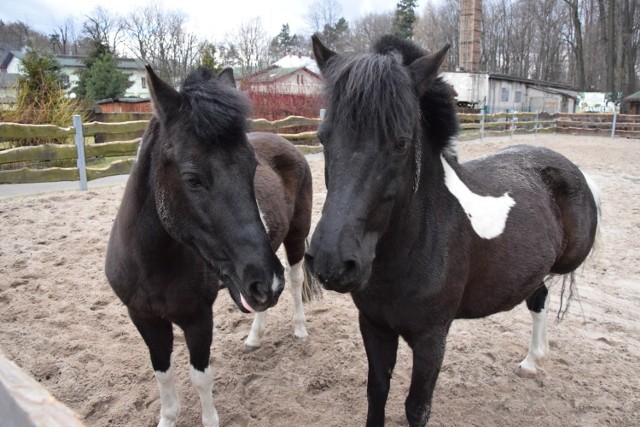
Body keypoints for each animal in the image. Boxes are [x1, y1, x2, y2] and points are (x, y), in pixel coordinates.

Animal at [105, 65, 320, 426]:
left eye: (252, 169)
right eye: (192, 178)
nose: (265, 280)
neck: (152, 265)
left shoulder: (198, 318)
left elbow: (200, 377)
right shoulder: (143, 317)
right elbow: (163, 375)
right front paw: (168, 418)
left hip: (292, 240)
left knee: (294, 280)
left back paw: (301, 330)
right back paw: (254, 337)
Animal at [304, 35, 600, 426]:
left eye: (401, 143)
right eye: (323, 137)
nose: (331, 261)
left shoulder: (431, 339)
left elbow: (417, 407)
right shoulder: (374, 326)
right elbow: (376, 392)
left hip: (565, 261)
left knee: (543, 295)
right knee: (538, 296)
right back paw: (531, 362)